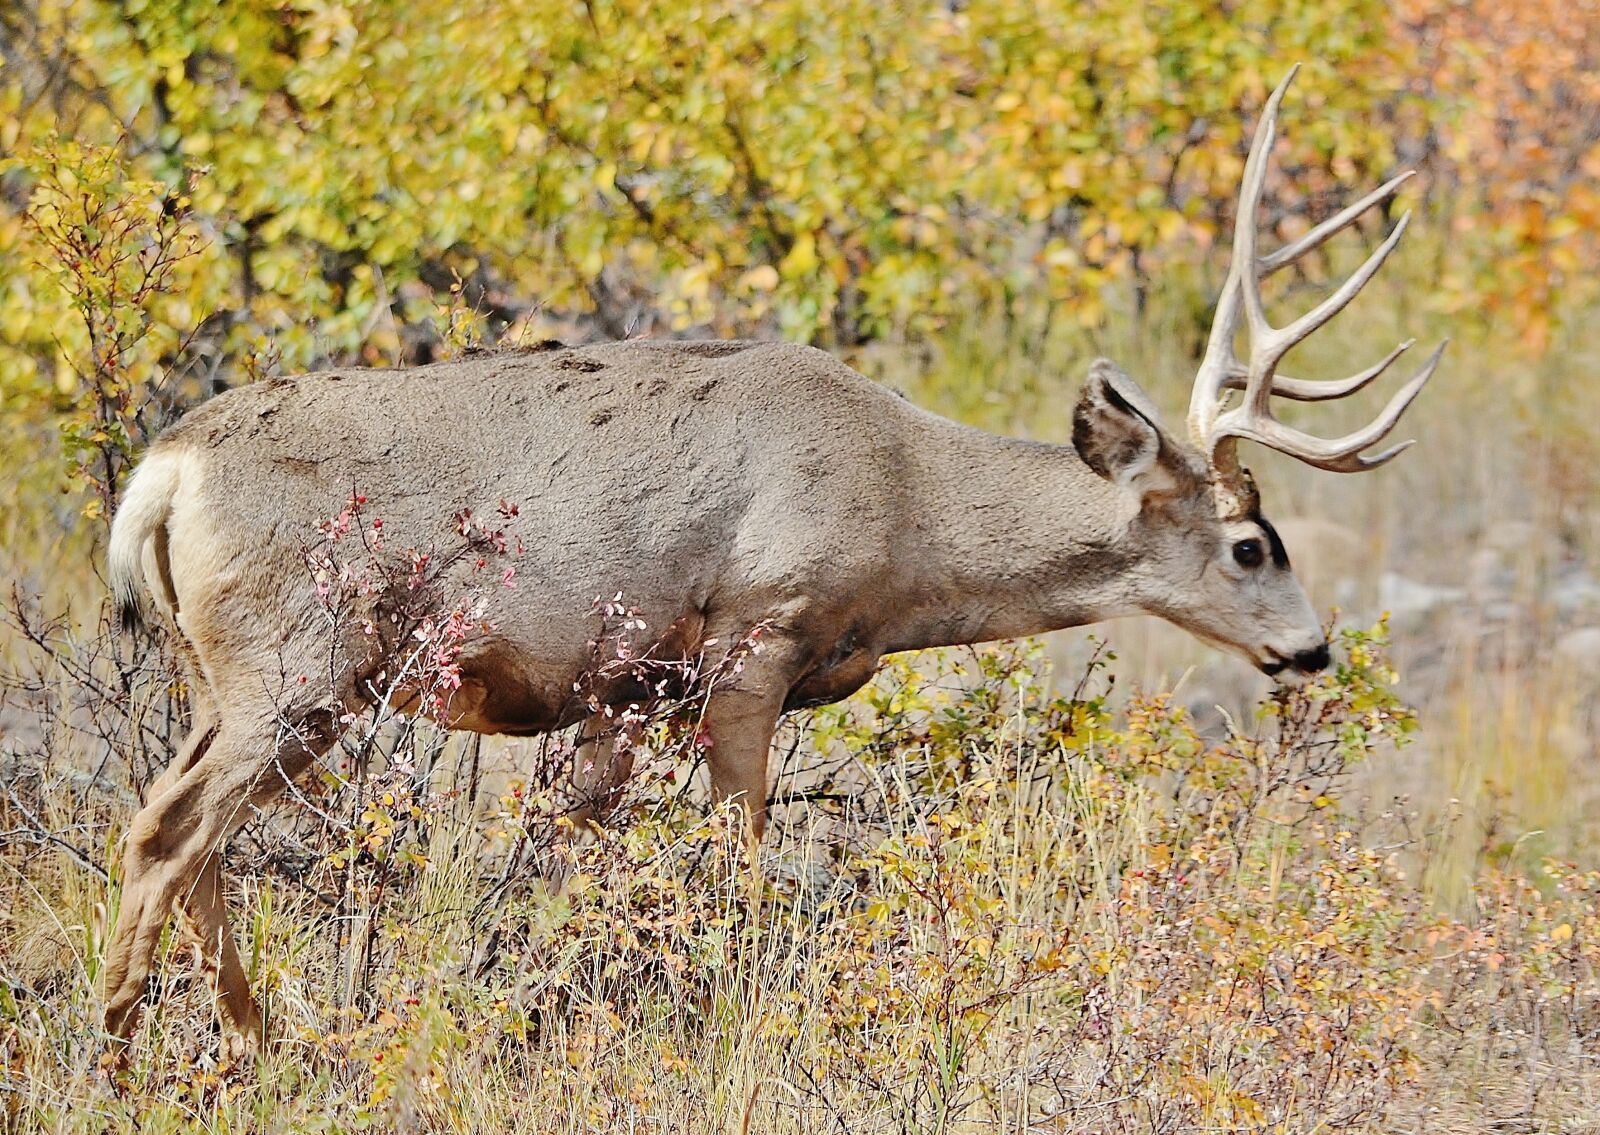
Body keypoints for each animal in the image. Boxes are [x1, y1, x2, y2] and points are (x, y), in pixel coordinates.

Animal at [99, 67, 1442, 1058]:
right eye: (1250, 542)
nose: (1310, 647)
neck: (901, 500)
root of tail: (164, 468)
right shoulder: (752, 642)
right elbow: (740, 867)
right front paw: (737, 1011)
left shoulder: (624, 691)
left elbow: (575, 859)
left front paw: (538, 1005)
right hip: (297, 658)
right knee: (167, 833)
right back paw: (122, 1052)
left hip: (227, 671)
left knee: (188, 836)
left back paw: (259, 1041)